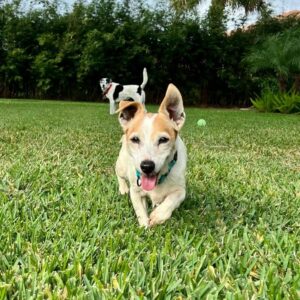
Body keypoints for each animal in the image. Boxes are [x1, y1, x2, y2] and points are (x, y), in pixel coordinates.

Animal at [116, 83, 186, 226]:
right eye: (135, 139)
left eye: (163, 140)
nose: (147, 166)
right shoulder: (136, 192)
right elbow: (140, 211)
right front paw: (144, 226)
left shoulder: (181, 190)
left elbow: (173, 198)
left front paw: (159, 214)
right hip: (121, 166)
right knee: (117, 172)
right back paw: (123, 187)